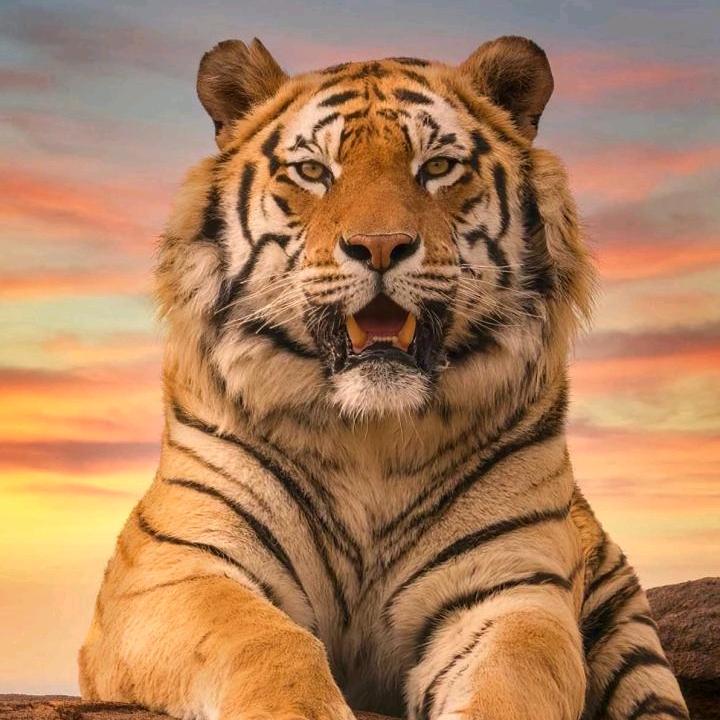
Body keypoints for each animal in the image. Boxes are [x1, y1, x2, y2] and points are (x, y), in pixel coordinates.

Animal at [78, 35, 689, 720]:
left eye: (438, 166)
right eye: (313, 171)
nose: (378, 245)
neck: (370, 436)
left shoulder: (512, 587)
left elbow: (513, 675)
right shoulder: (177, 566)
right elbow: (263, 642)